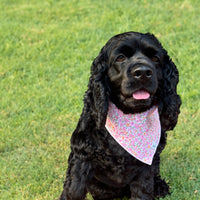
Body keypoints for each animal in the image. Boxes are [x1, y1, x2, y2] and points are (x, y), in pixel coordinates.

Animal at [59, 31, 181, 200]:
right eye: (120, 58)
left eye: (155, 58)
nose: (143, 73)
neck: (129, 116)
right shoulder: (81, 156)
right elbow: (73, 191)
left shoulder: (145, 169)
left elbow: (142, 192)